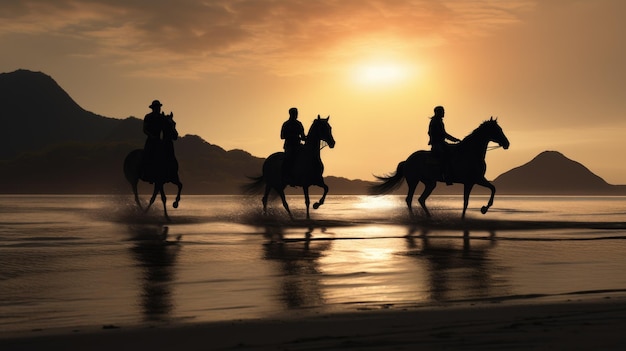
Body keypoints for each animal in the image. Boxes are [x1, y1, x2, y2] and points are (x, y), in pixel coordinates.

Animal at [370, 117, 508, 220]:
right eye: (498, 130)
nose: (507, 143)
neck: (470, 153)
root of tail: (407, 161)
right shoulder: (473, 181)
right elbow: (468, 201)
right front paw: (482, 209)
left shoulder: (476, 180)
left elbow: (491, 189)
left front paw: (483, 209)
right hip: (413, 181)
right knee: (409, 199)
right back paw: (414, 218)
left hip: (430, 183)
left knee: (421, 199)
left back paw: (429, 217)